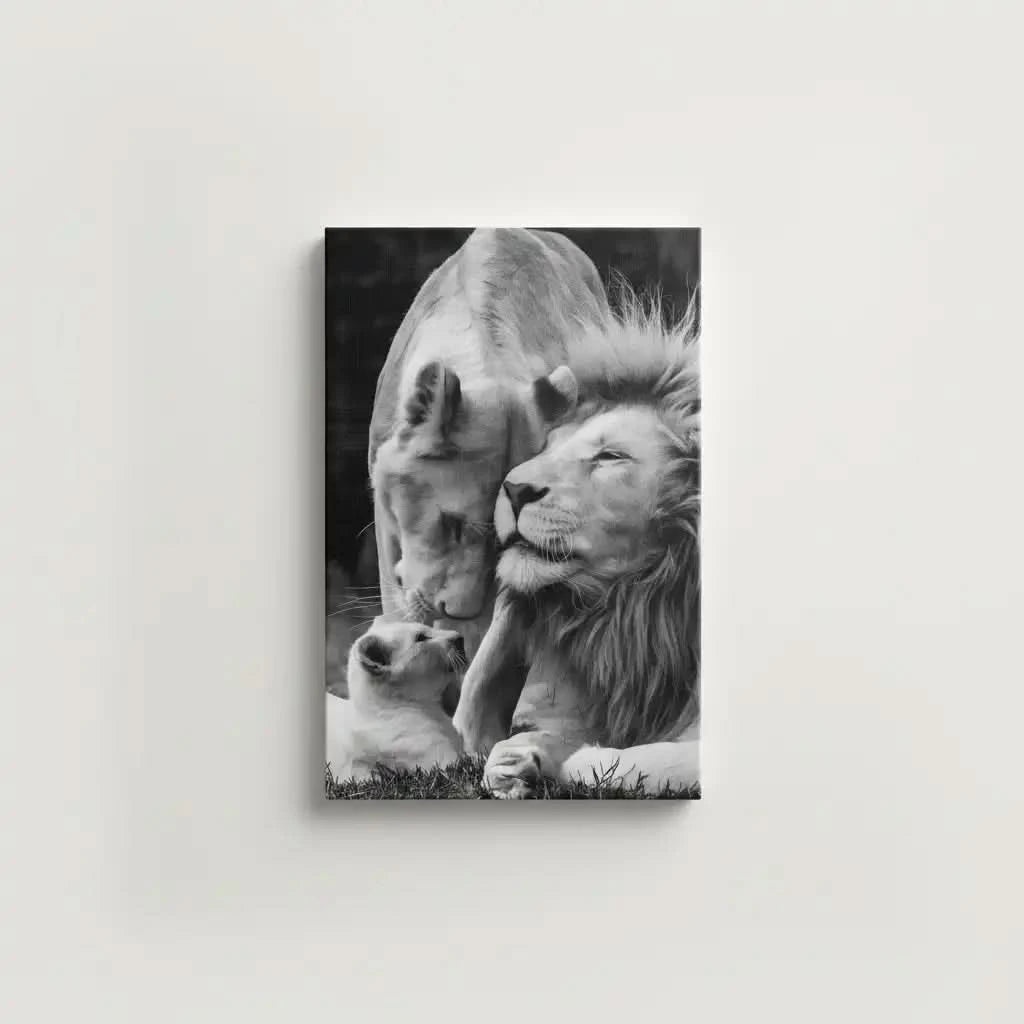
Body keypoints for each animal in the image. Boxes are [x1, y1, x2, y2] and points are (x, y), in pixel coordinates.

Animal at [451, 298, 700, 797]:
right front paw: (516, 758)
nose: (514, 489)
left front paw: (553, 758)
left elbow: (643, 762)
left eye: (610, 456)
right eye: (548, 447)